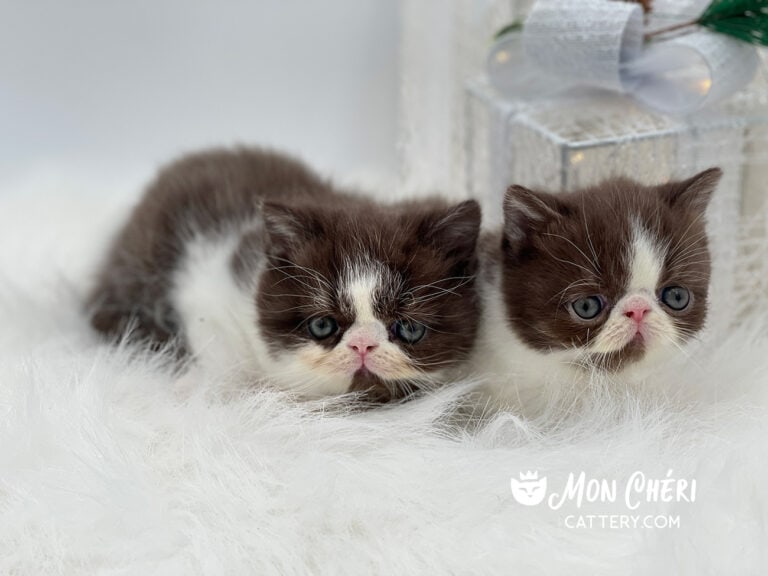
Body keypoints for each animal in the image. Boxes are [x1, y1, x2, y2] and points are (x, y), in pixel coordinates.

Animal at [85, 147, 480, 400]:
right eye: (322, 325)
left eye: (410, 328)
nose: (362, 344)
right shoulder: (209, 275)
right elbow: (214, 339)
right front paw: (195, 388)